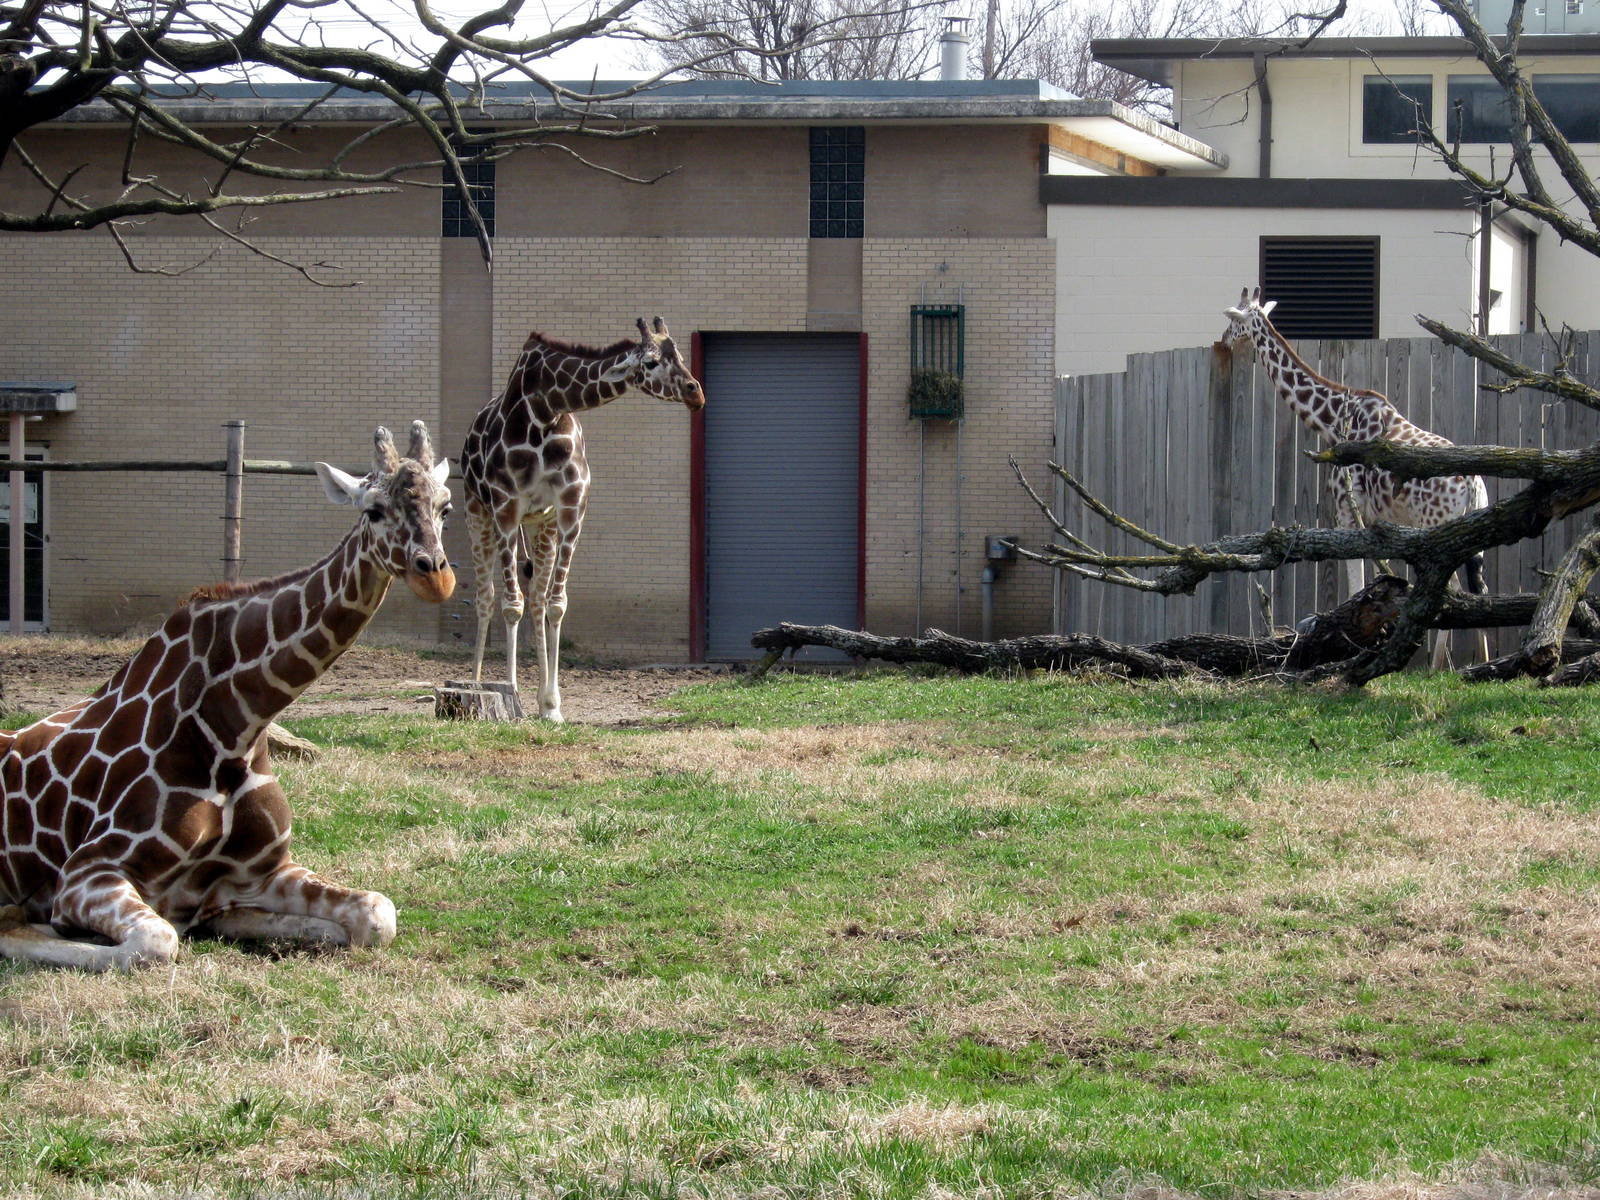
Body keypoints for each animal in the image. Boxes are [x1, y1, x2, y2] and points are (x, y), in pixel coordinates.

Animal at [0, 423, 454, 970]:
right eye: (373, 510)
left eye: (445, 507)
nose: (437, 576)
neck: (237, 723)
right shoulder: (87, 872)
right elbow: (154, 941)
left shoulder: (263, 872)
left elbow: (376, 914)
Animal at [461, 316, 705, 721]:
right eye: (651, 362)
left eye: (681, 357)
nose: (694, 392)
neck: (545, 410)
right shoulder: (506, 506)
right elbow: (511, 604)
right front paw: (512, 692)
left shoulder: (571, 507)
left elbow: (556, 603)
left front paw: (551, 705)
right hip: (477, 510)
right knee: (486, 596)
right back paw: (479, 683)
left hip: (539, 524)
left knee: (537, 597)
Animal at [1222, 287, 1489, 668]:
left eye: (1232, 321)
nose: (1223, 341)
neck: (1333, 419)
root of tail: (1472, 483)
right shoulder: (1377, 519)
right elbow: (1378, 581)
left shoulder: (1347, 510)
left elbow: (1355, 583)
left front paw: (1352, 645)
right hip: (1470, 529)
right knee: (1478, 586)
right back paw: (1482, 661)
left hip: (1435, 525)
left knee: (1451, 589)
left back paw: (1437, 666)